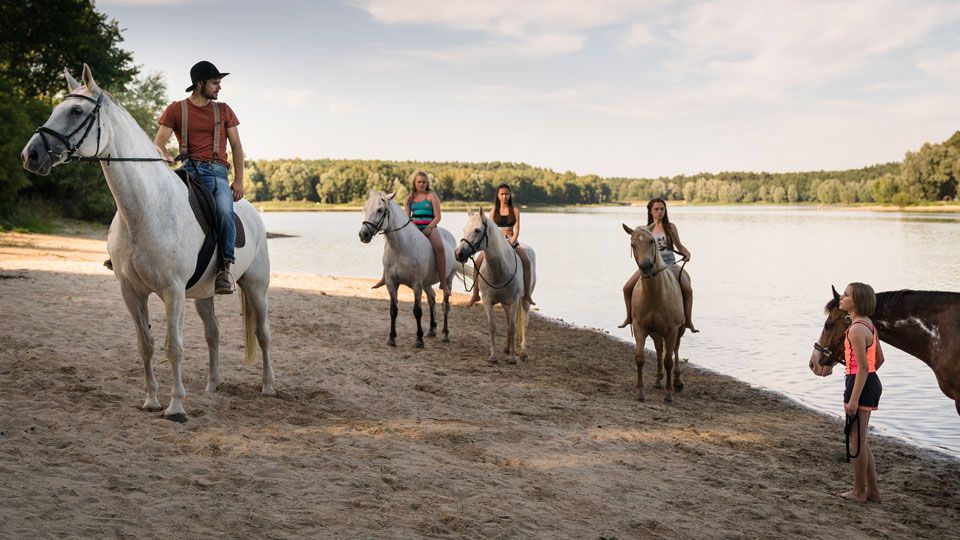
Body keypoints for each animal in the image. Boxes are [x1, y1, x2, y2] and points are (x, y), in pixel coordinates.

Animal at [20, 66, 274, 422]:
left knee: (263, 334)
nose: (31, 155)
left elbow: (174, 346)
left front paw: (176, 407)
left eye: (76, 111)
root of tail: (251, 211)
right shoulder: (131, 291)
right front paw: (151, 401)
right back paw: (212, 386)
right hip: (203, 294)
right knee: (213, 333)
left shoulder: (173, 291)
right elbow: (146, 344)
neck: (145, 209)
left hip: (256, 287)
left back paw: (268, 386)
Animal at [358, 192, 456, 348]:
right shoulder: (391, 283)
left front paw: (419, 340)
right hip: (427, 283)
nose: (363, 234)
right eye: (365, 209)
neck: (400, 248)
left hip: (447, 279)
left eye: (380, 210)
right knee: (432, 298)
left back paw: (445, 334)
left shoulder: (416, 284)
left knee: (445, 305)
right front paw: (392, 338)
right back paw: (432, 329)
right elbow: (393, 310)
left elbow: (417, 311)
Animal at [456, 209, 536, 364]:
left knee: (524, 322)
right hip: (505, 304)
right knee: (509, 321)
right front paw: (493, 356)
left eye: (477, 230)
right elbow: (493, 326)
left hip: (524, 300)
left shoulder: (514, 301)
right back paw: (508, 348)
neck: (499, 269)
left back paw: (523, 353)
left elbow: (513, 327)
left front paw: (513, 358)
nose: (459, 254)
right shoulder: (488, 301)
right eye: (464, 229)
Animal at [628, 224, 688, 400]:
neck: (655, 294)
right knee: (660, 348)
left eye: (651, 241)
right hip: (655, 331)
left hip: (680, 329)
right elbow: (640, 358)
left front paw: (669, 394)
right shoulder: (640, 327)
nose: (646, 267)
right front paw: (640, 392)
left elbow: (668, 360)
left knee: (675, 350)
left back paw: (677, 381)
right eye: (633, 245)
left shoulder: (672, 329)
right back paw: (658, 380)